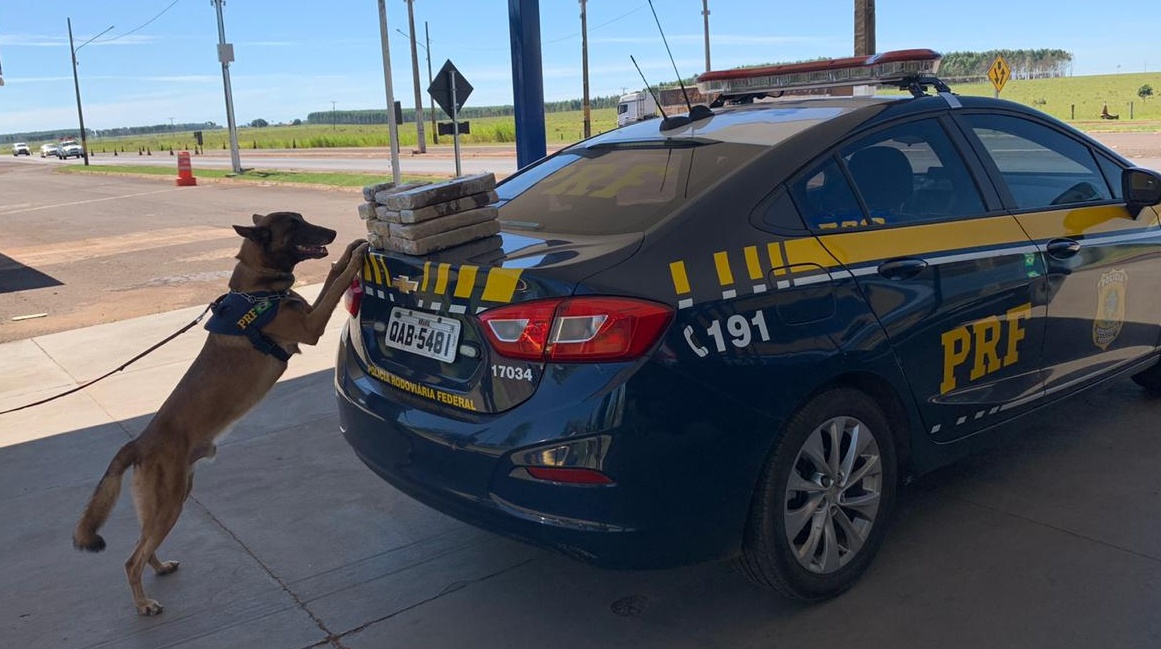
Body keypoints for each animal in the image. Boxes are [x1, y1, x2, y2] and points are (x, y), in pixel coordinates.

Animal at [74, 211, 364, 617]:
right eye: (294, 224)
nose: (334, 232)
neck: (259, 288)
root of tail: (140, 442)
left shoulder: (306, 314)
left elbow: (331, 275)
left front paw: (350, 250)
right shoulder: (310, 326)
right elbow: (336, 285)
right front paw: (356, 259)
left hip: (169, 502)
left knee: (142, 546)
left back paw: (160, 567)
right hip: (169, 504)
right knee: (131, 560)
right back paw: (144, 604)